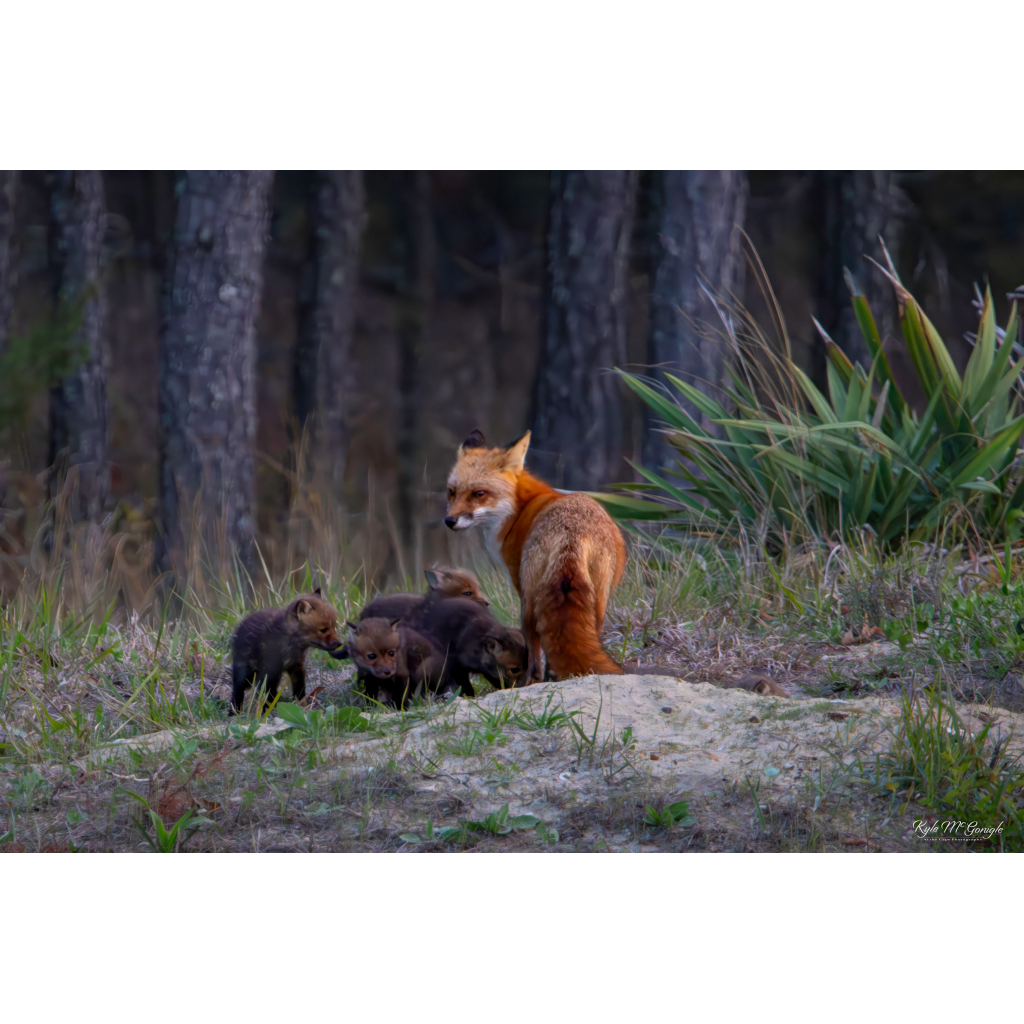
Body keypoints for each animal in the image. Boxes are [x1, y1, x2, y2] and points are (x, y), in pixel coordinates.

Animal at [445, 428, 626, 684]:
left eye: (479, 494)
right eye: (452, 492)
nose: (449, 521)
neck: (518, 509)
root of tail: (571, 533)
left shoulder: (518, 583)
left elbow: (533, 646)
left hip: (530, 596)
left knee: (533, 638)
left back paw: (532, 679)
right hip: (599, 597)